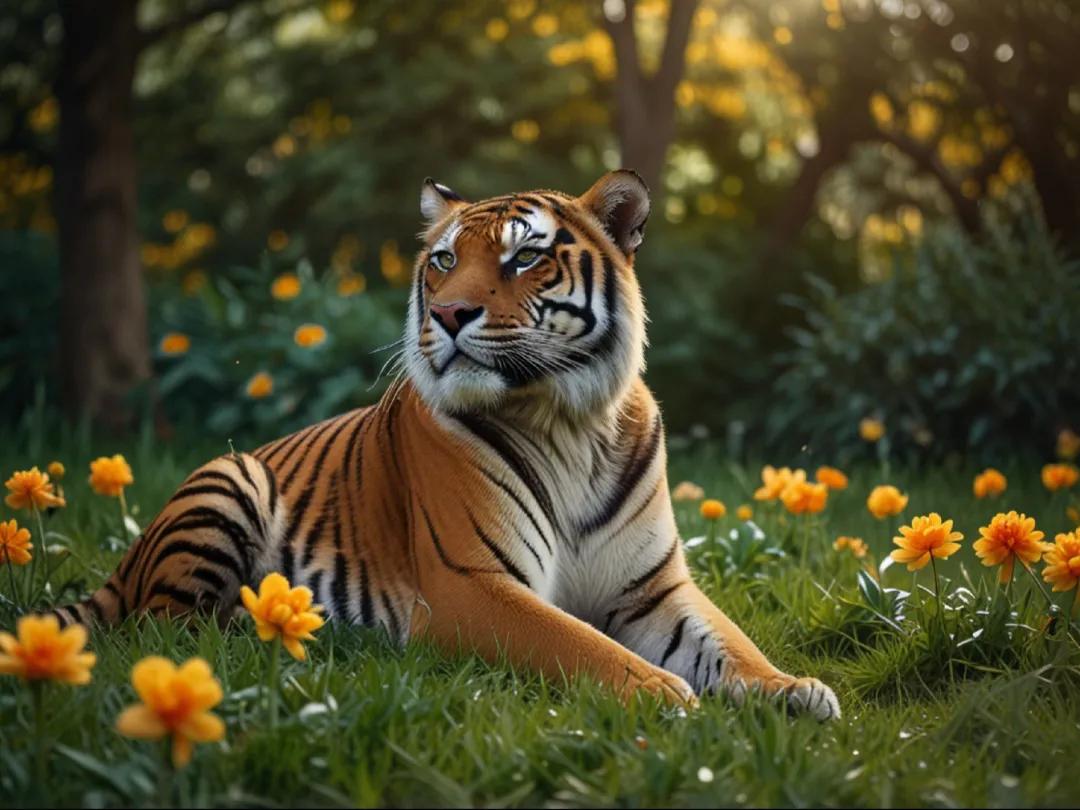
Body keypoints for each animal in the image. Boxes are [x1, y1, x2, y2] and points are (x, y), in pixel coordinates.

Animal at [47, 170, 839, 720]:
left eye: (524, 259)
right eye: (444, 261)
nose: (452, 313)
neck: (568, 422)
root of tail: (127, 558)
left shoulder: (653, 589)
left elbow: (732, 644)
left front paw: (796, 689)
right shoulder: (472, 584)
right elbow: (583, 646)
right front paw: (663, 693)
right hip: (230, 480)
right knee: (165, 634)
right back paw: (280, 624)